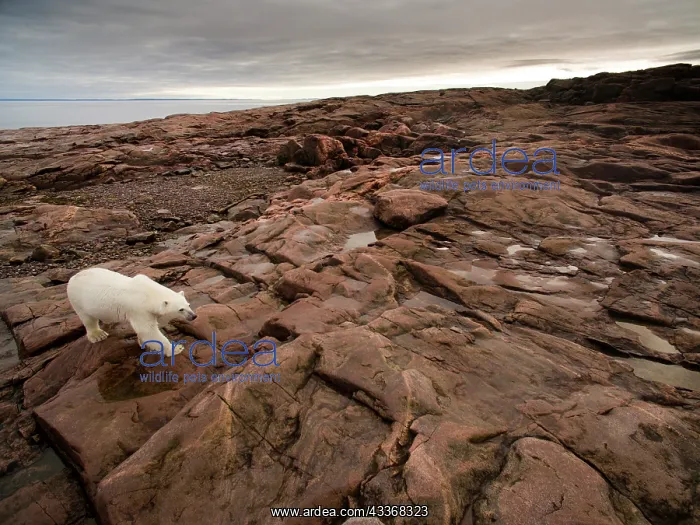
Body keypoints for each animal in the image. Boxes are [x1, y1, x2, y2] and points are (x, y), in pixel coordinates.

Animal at [67, 267, 197, 357]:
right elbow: (148, 331)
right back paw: (98, 335)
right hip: (78, 300)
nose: (194, 316)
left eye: (188, 305)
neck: (148, 293)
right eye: (181, 309)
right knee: (88, 319)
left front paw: (142, 342)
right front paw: (177, 348)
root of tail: (72, 278)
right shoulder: (138, 309)